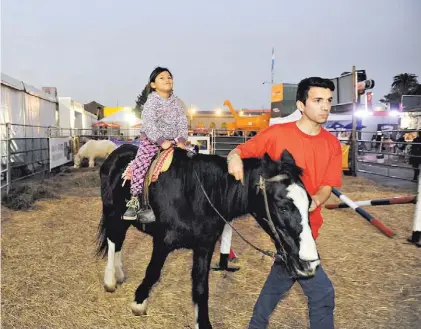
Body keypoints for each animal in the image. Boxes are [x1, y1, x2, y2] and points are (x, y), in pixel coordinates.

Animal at [96, 144, 318, 328]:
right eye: (283, 207)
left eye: (309, 203)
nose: (310, 264)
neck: (199, 194)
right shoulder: (162, 242)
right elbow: (153, 272)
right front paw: (139, 303)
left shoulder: (204, 246)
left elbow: (201, 288)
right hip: (114, 214)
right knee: (114, 240)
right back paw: (110, 280)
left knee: (119, 242)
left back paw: (119, 274)